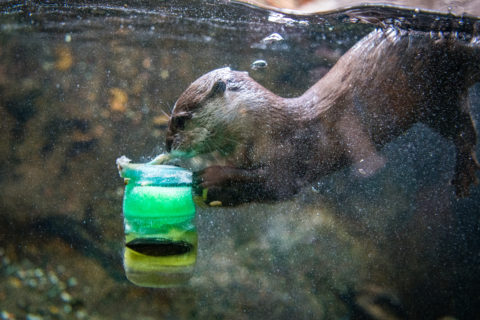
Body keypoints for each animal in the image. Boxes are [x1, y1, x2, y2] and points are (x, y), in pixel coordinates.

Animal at [156, 28, 478, 206]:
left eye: (181, 119)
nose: (167, 144)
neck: (268, 127)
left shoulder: (291, 152)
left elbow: (277, 184)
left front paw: (212, 178)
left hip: (438, 90)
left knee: (465, 130)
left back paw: (464, 175)